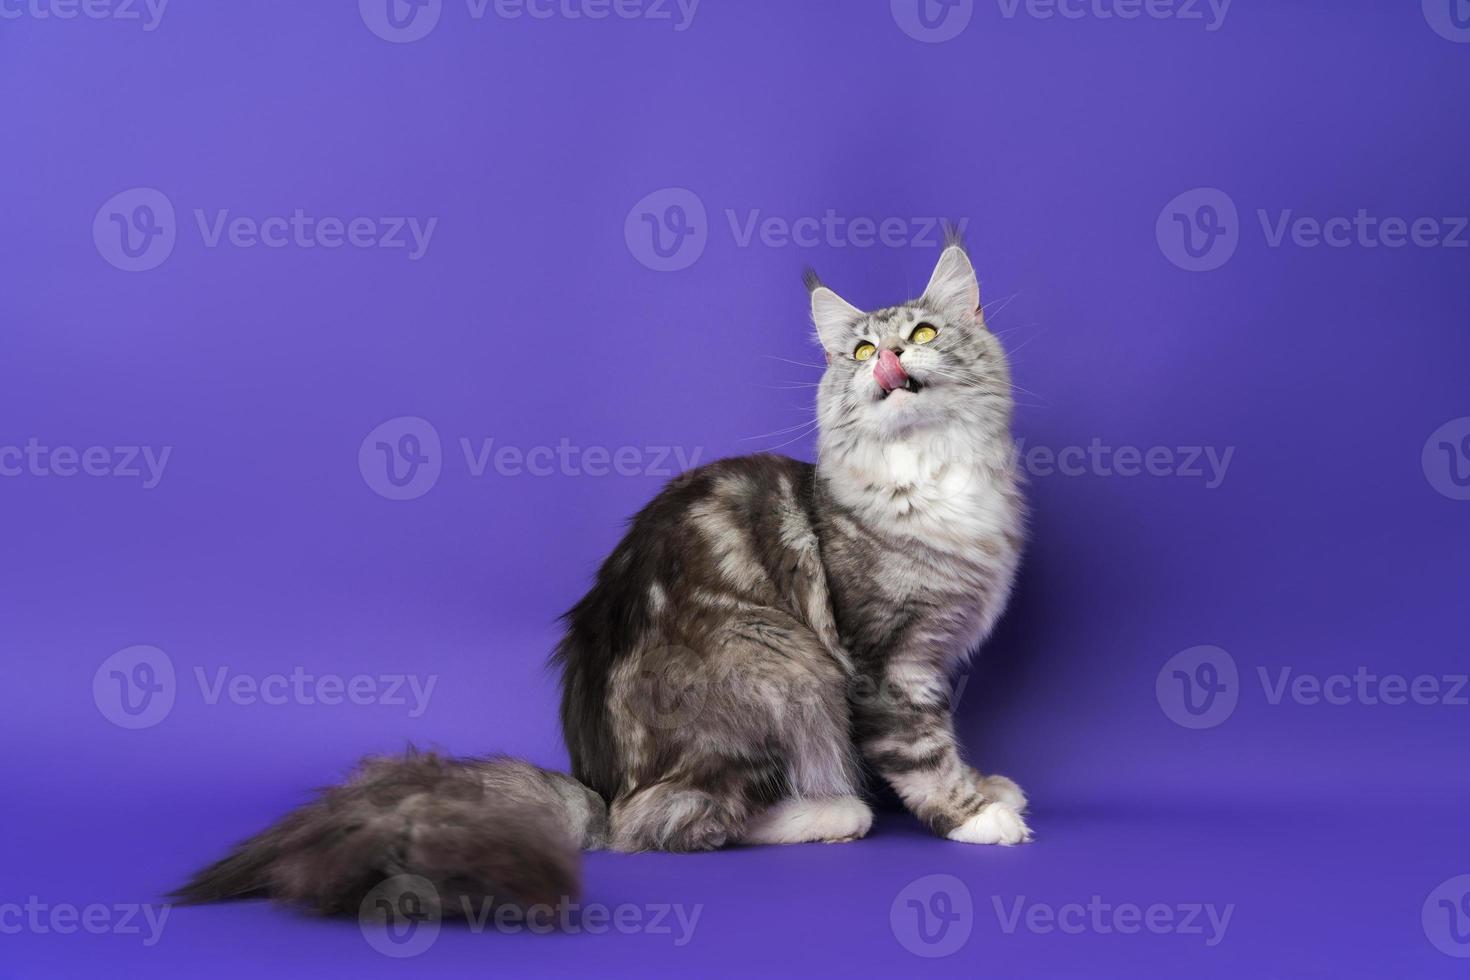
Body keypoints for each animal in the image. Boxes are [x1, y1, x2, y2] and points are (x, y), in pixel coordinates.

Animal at [177, 233, 1029, 922]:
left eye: (922, 334)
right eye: (858, 352)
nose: (887, 361)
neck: (929, 477)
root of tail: (596, 783)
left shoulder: (931, 656)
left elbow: (945, 740)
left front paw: (986, 788)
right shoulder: (887, 660)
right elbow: (922, 750)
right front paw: (973, 816)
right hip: (785, 664)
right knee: (659, 825)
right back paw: (833, 810)